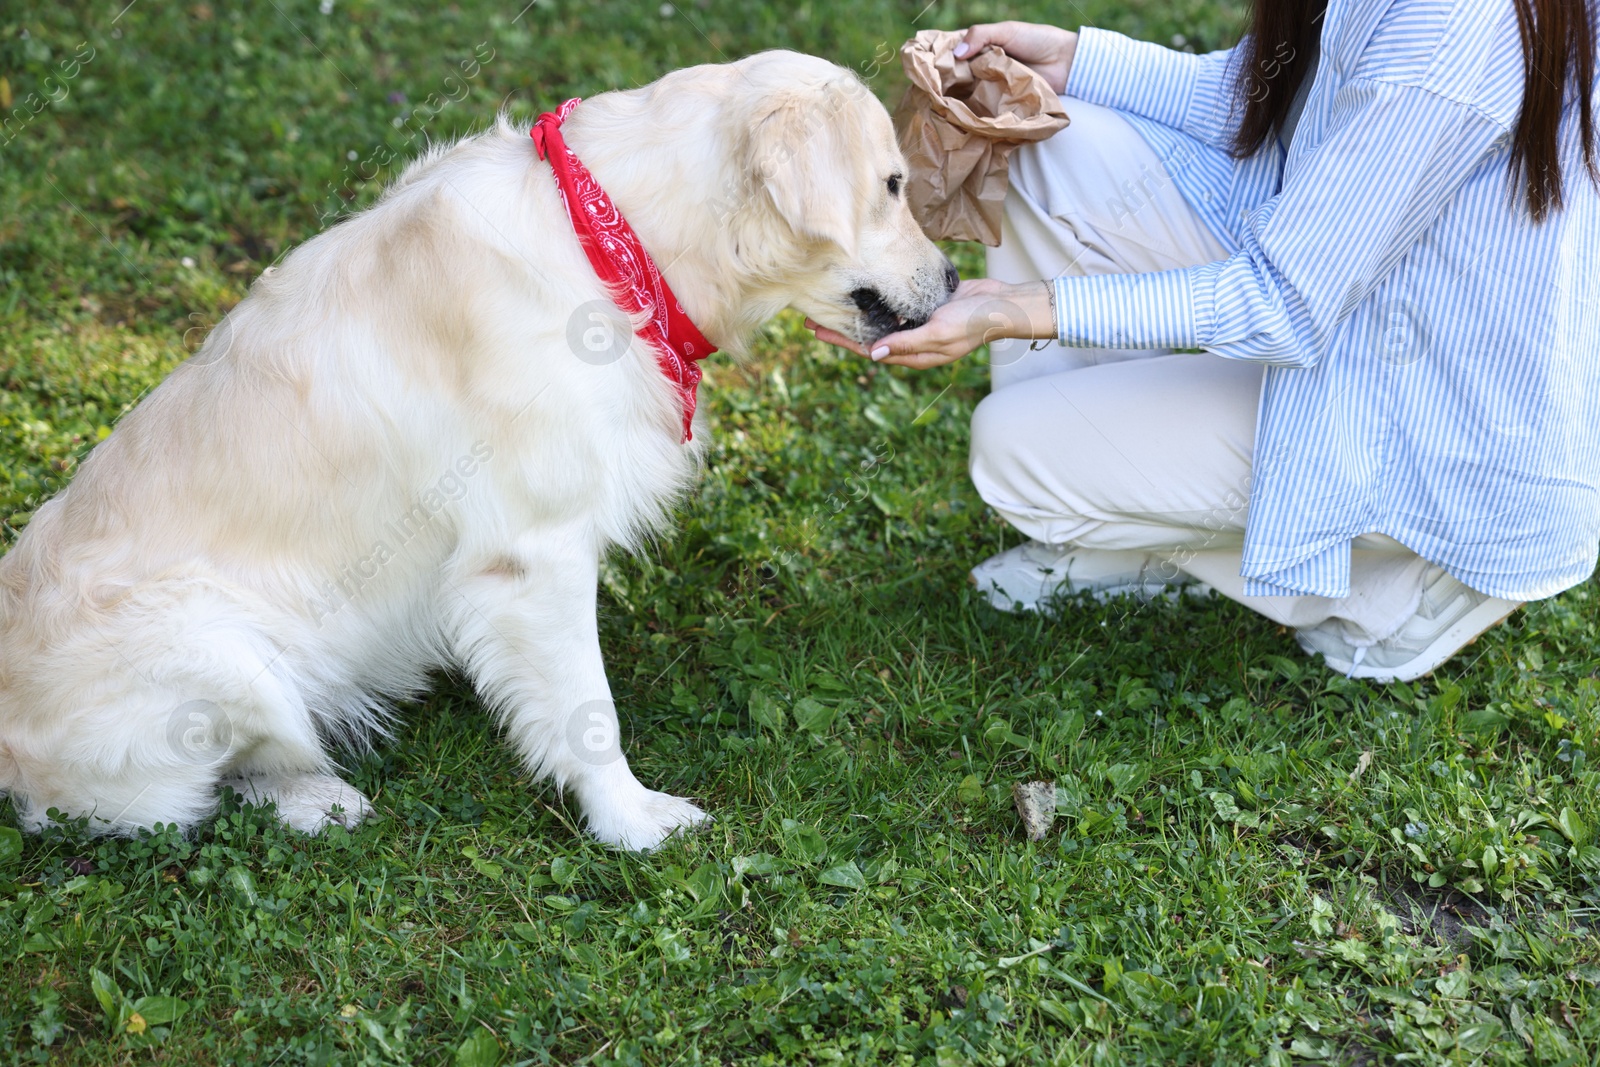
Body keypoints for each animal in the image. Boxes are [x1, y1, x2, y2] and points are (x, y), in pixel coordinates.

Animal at [0, 49, 947, 851]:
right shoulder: (535, 551)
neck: (614, 237)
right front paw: (631, 819)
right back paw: (314, 796)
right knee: (167, 800)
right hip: (221, 646)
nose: (952, 279)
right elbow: (588, 710)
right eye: (894, 185)